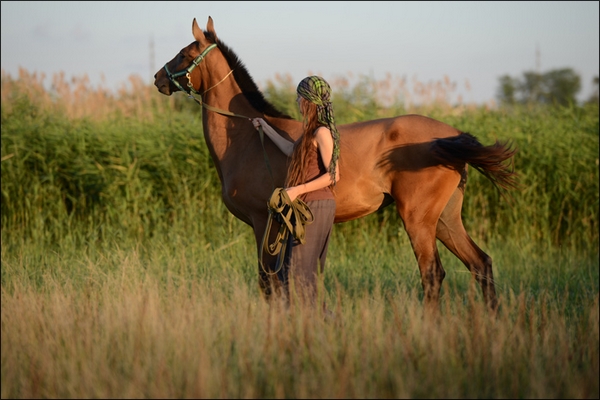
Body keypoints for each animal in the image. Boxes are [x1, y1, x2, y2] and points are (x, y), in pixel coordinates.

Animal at [154, 16, 516, 312]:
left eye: (184, 54)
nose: (159, 78)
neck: (247, 139)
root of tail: (451, 135)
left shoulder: (263, 221)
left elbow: (269, 283)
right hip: (445, 220)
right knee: (481, 264)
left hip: (418, 219)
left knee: (432, 274)